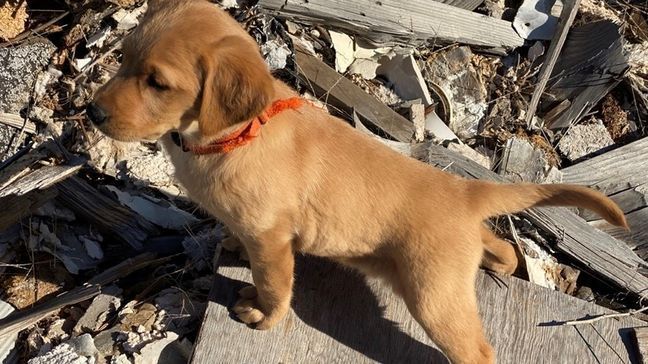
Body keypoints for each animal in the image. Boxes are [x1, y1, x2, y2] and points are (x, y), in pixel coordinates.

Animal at [87, 1, 628, 362]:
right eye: (123, 58)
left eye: (158, 83)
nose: (91, 113)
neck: (235, 136)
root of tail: (465, 189)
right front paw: (234, 248)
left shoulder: (273, 239)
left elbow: (275, 285)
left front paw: (264, 316)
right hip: (457, 262)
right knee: (500, 247)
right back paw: (503, 260)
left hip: (433, 296)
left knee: (479, 351)